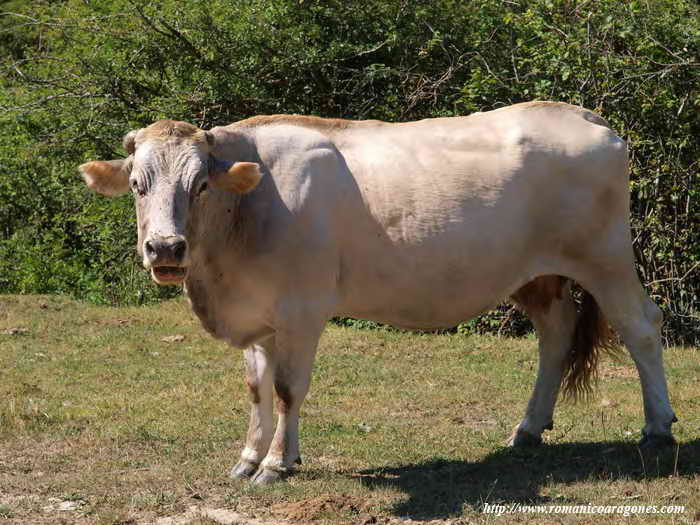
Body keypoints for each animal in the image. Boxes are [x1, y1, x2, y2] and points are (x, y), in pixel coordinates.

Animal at [80, 101, 680, 484]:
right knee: (555, 334)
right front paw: (251, 458)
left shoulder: (303, 310)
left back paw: (658, 428)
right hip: (537, 276)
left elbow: (288, 390)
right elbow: (256, 389)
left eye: (200, 185)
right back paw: (527, 430)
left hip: (606, 256)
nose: (165, 248)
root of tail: (582, 115)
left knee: (642, 327)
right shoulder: (259, 316)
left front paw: (275, 465)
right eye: (137, 185)